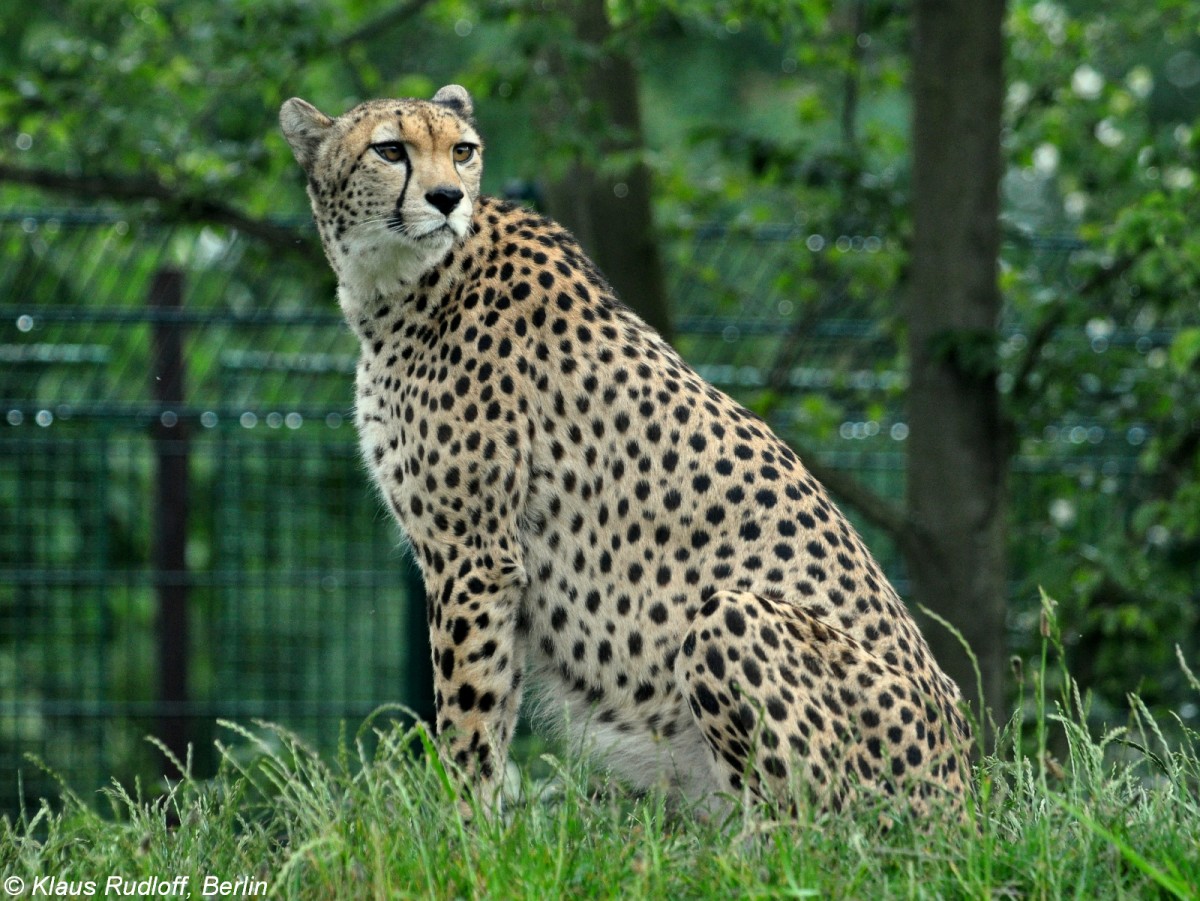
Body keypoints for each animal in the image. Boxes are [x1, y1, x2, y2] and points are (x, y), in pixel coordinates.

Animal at [283, 86, 974, 825]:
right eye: (390, 150)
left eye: (462, 150)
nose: (447, 197)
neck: (401, 283)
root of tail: (968, 789)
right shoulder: (489, 562)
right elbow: (493, 704)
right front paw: (485, 827)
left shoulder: (474, 552)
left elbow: (468, 709)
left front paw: (460, 826)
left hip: (728, 617)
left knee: (812, 829)